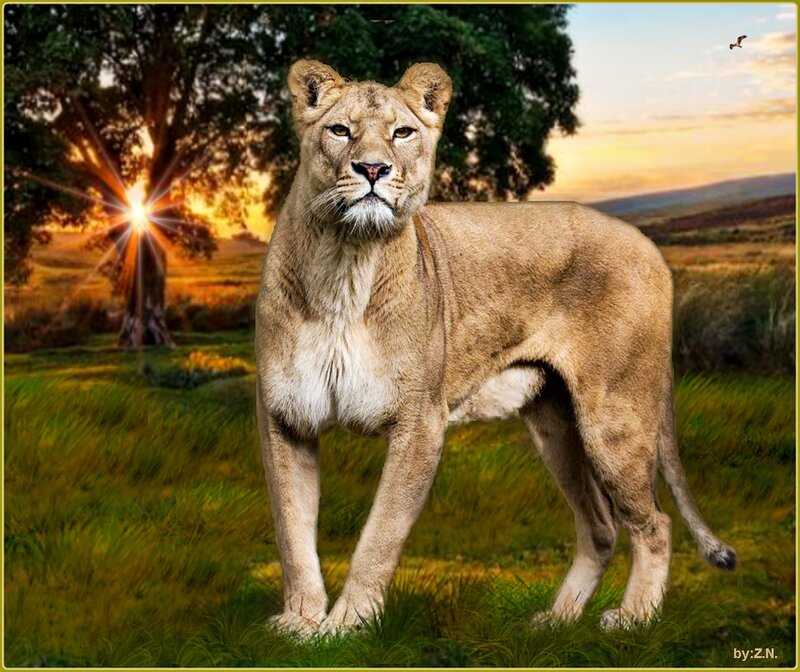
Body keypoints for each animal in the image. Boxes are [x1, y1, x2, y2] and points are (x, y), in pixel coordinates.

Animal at [254, 59, 736, 637]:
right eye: (340, 130)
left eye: (402, 133)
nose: (373, 169)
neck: (345, 266)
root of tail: (649, 245)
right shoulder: (286, 416)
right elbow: (291, 529)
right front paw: (301, 623)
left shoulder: (420, 422)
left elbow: (380, 534)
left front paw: (347, 626)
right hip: (555, 424)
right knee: (600, 526)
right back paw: (556, 620)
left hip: (615, 418)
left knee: (654, 523)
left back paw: (632, 619)